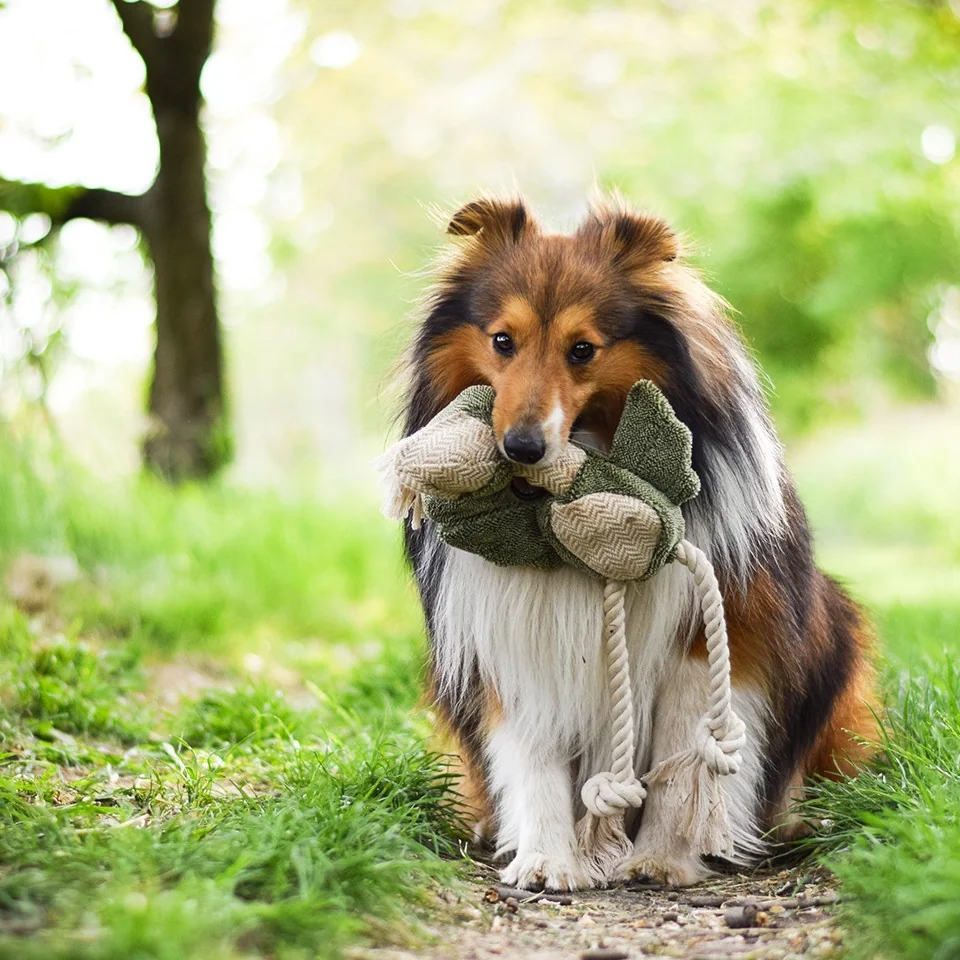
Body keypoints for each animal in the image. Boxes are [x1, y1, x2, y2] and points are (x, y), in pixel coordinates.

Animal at [398, 195, 876, 892]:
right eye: (502, 340)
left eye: (582, 349)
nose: (521, 449)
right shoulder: (516, 628)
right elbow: (533, 752)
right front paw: (546, 859)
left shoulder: (711, 634)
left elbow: (687, 754)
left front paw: (665, 857)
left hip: (836, 633)